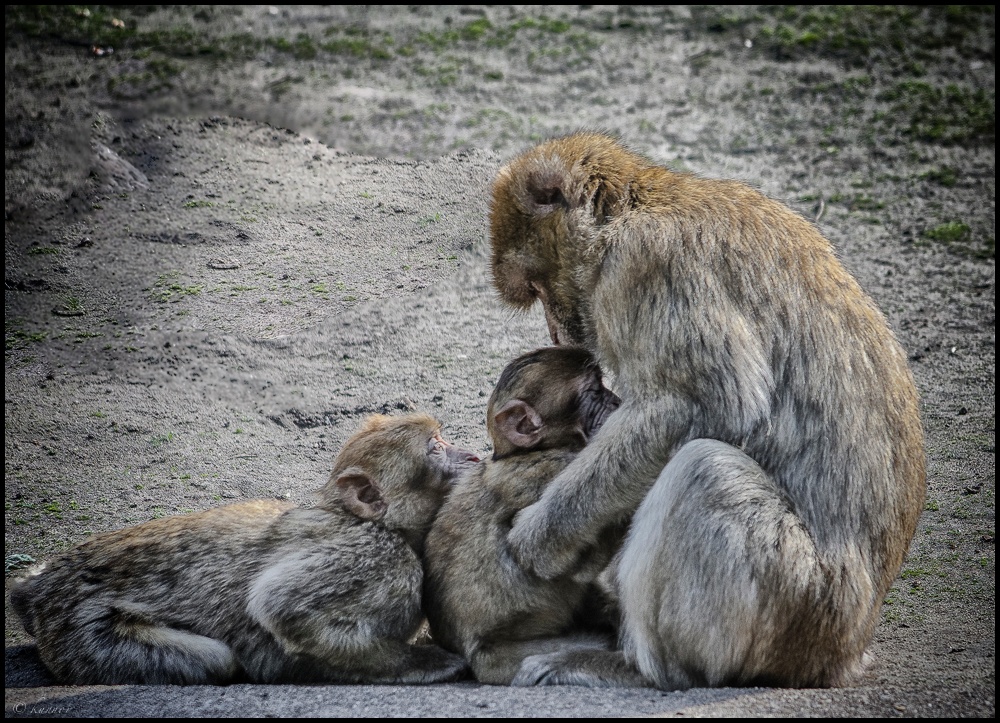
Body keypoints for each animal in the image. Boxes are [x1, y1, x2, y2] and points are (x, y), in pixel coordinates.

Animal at [10, 412, 480, 684]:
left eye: (444, 439)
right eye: (436, 447)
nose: (473, 456)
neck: (383, 525)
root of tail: (42, 593)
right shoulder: (376, 556)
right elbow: (284, 608)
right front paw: (417, 663)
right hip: (85, 635)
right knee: (217, 658)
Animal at [422, 348, 648, 688]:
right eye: (594, 392)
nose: (615, 400)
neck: (524, 453)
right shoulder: (558, 466)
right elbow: (570, 563)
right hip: (502, 658)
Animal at [488, 133, 924, 692]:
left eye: (536, 287)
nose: (555, 333)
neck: (629, 211)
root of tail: (843, 654)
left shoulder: (648, 266)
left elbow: (714, 405)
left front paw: (541, 537)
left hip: (797, 596)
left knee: (704, 468)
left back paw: (645, 669)